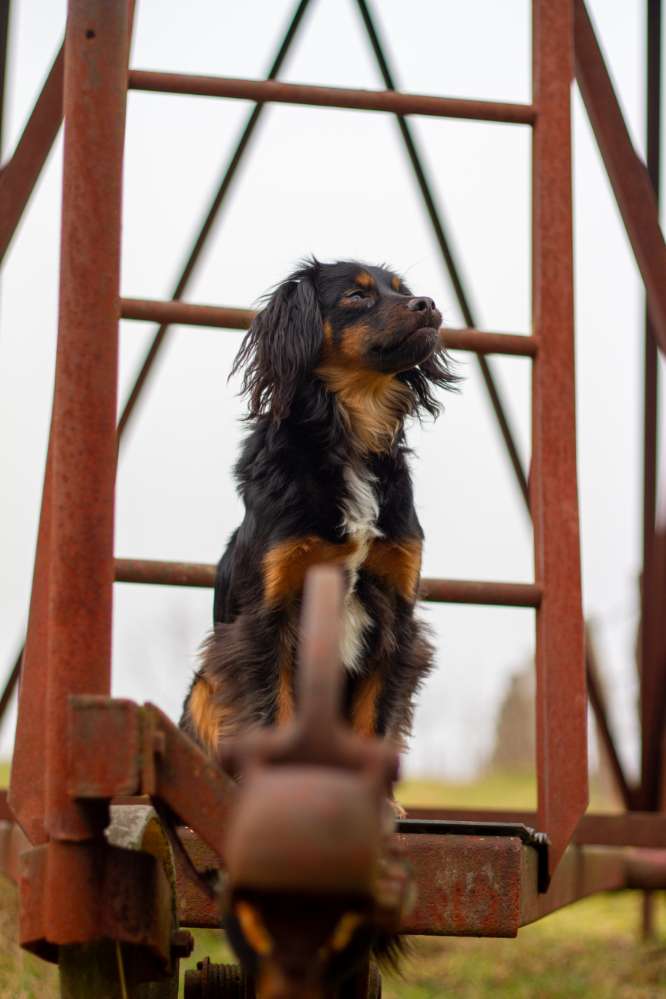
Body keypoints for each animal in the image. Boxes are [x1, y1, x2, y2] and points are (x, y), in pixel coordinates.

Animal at [179, 262, 454, 760]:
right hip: (203, 690)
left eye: (399, 290)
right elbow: (274, 716)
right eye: (355, 296)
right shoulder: (266, 618)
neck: (352, 441)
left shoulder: (396, 613)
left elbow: (374, 724)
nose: (427, 303)